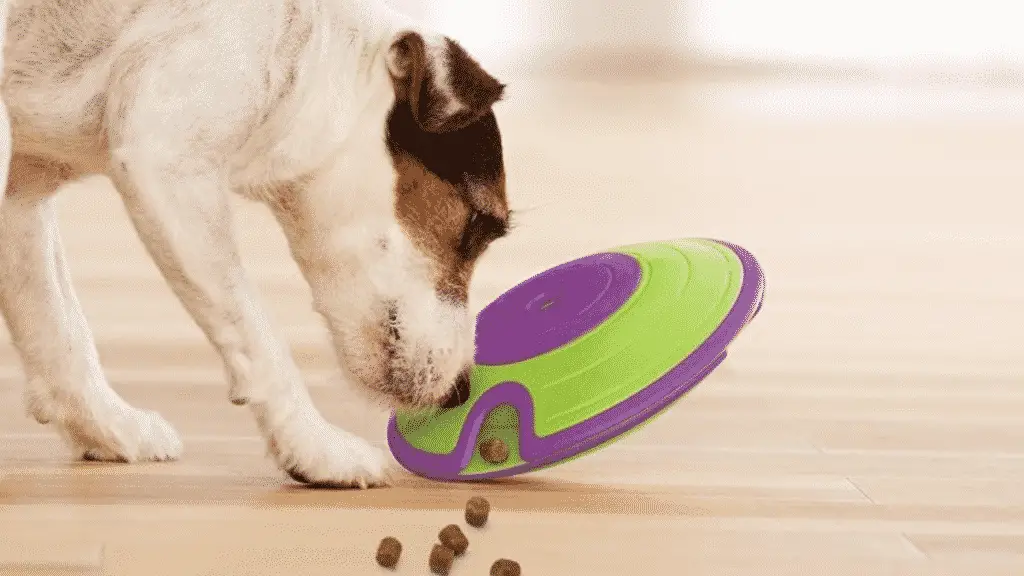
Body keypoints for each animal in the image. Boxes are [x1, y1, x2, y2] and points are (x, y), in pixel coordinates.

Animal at [0, 0, 512, 485]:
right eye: (480, 225)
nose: (461, 391)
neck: (307, 44)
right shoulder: (168, 166)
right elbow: (261, 336)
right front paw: (316, 447)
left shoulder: (21, 196)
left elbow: (59, 329)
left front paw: (108, 428)